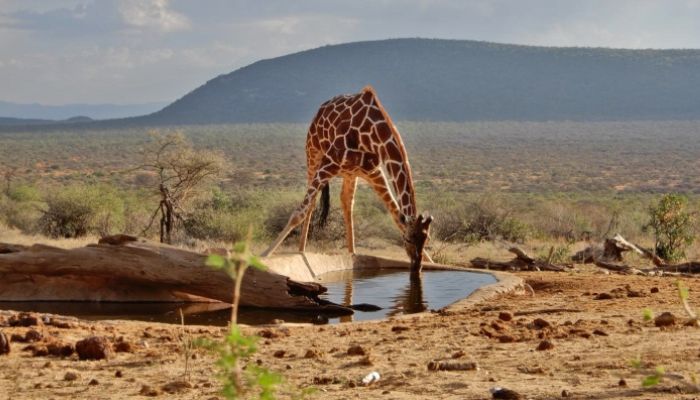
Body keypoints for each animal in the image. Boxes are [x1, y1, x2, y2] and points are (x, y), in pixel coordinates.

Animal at [262, 85, 432, 274]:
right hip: (313, 154)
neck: (371, 134)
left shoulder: (373, 172)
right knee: (312, 203)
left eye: (426, 240)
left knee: (346, 202)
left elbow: (396, 215)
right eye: (408, 239)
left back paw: (352, 254)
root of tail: (321, 108)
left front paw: (431, 261)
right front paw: (264, 255)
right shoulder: (329, 162)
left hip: (351, 173)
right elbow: (298, 213)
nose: (416, 267)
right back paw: (301, 250)